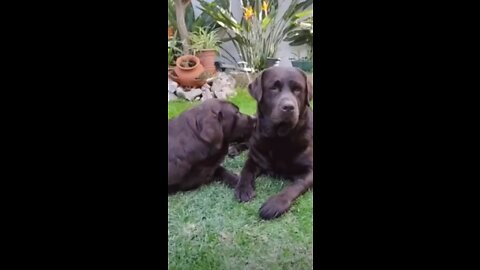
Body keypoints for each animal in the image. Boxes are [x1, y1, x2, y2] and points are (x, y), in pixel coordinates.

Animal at [234, 67, 314, 219]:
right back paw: (233, 149)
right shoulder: (254, 158)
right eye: (274, 88)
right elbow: (245, 171)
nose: (288, 107)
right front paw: (243, 189)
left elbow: (296, 185)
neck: (279, 138)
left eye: (297, 89)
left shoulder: (310, 170)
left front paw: (276, 203)